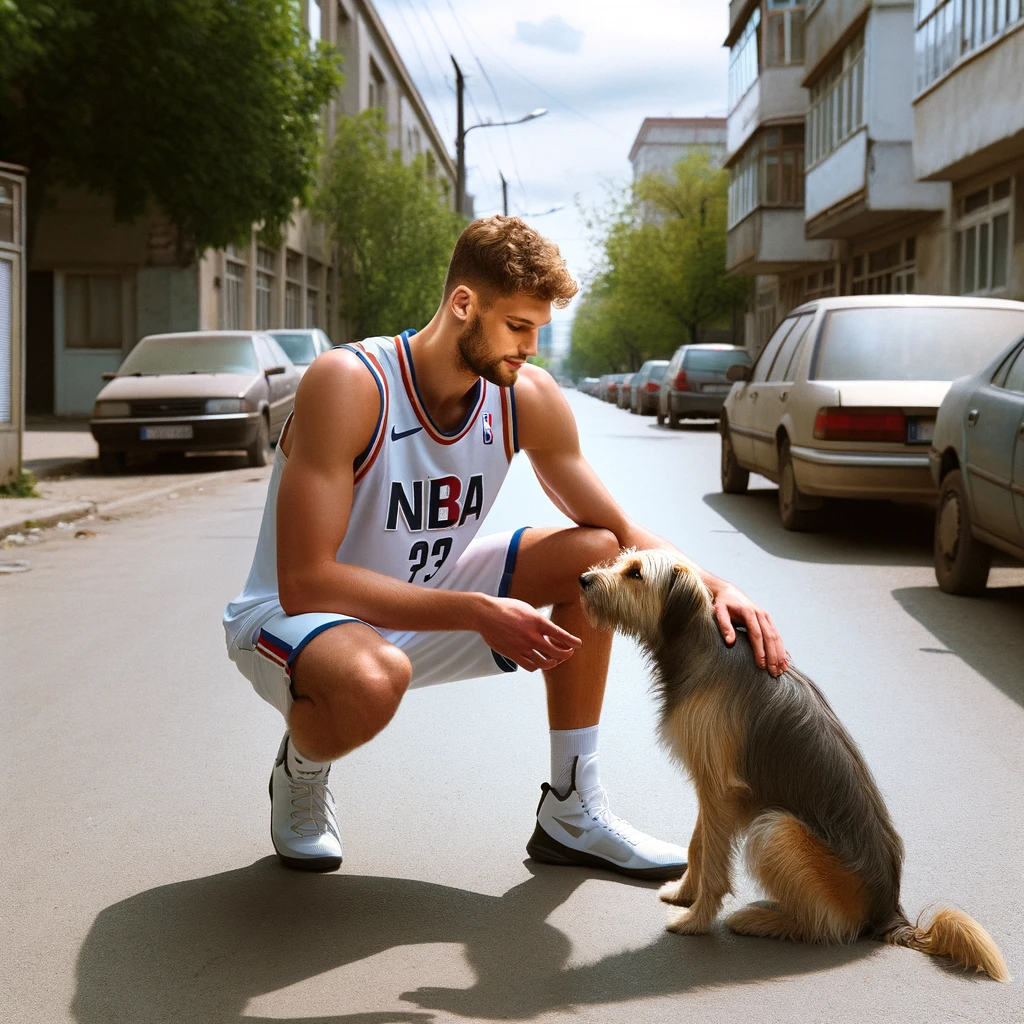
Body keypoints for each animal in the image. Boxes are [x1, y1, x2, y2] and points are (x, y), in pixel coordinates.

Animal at [577, 548, 1007, 978]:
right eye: (622, 561)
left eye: (635, 573)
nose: (584, 579)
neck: (702, 647)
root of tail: (890, 912)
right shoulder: (710, 786)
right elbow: (699, 845)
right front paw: (684, 894)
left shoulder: (719, 789)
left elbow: (714, 863)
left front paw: (696, 920)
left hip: (776, 831)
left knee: (827, 925)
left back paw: (759, 920)